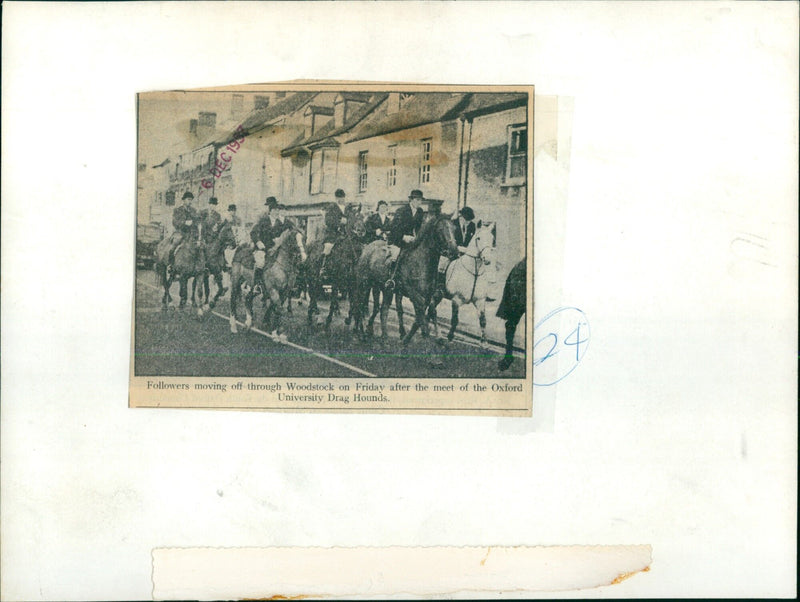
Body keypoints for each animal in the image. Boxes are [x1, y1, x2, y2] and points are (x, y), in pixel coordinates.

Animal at [354, 212, 460, 344]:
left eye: (454, 229)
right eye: (440, 230)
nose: (455, 252)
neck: (420, 262)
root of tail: (367, 247)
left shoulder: (428, 296)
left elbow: (428, 312)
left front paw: (409, 338)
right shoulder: (413, 294)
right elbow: (421, 316)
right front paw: (426, 334)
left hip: (386, 288)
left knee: (383, 309)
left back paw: (383, 336)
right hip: (364, 283)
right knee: (360, 304)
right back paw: (361, 332)